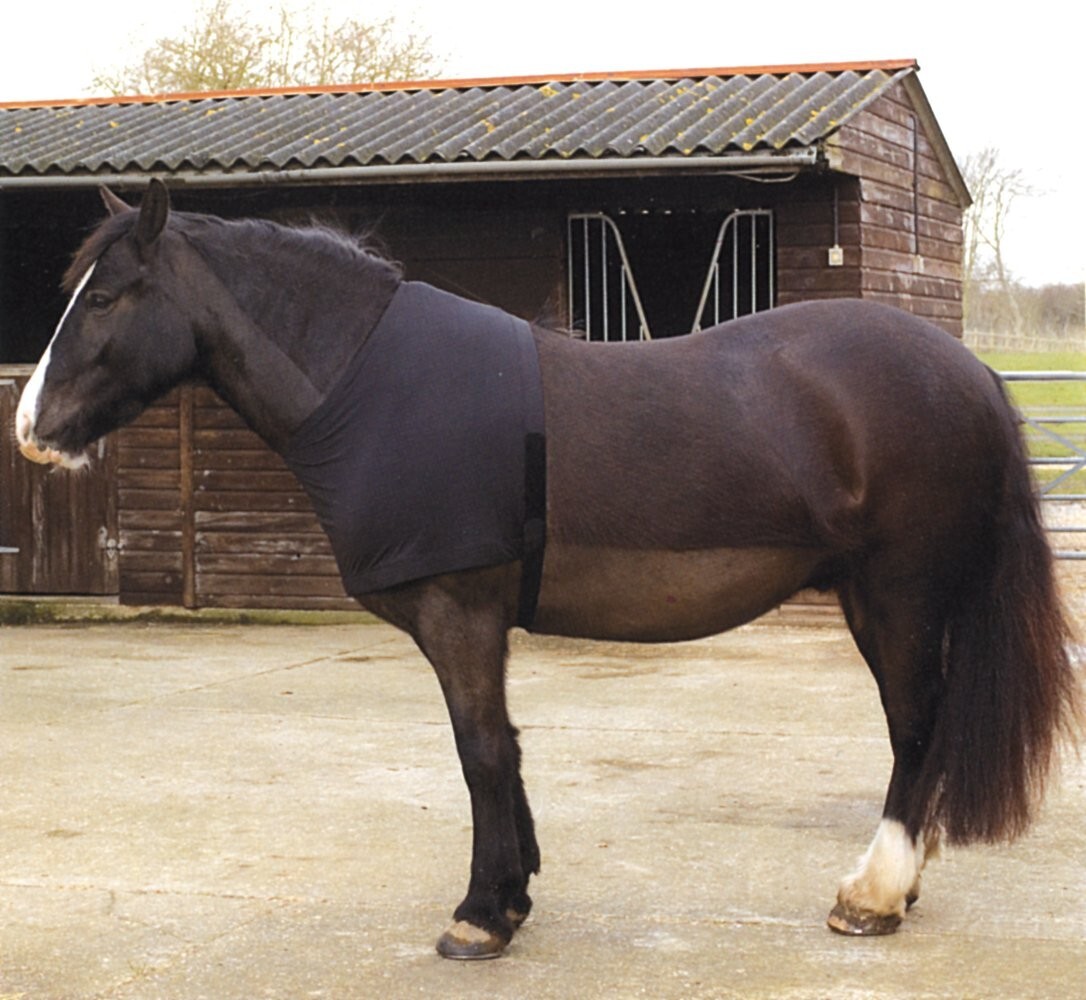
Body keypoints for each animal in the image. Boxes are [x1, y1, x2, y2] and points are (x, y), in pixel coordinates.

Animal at [15, 180, 1080, 960]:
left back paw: (873, 894)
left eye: (103, 297)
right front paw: (515, 892)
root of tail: (972, 372)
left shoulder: (460, 615)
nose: (30, 428)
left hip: (898, 596)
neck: (368, 384)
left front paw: (480, 914)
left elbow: (481, 751)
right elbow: (509, 751)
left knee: (915, 730)